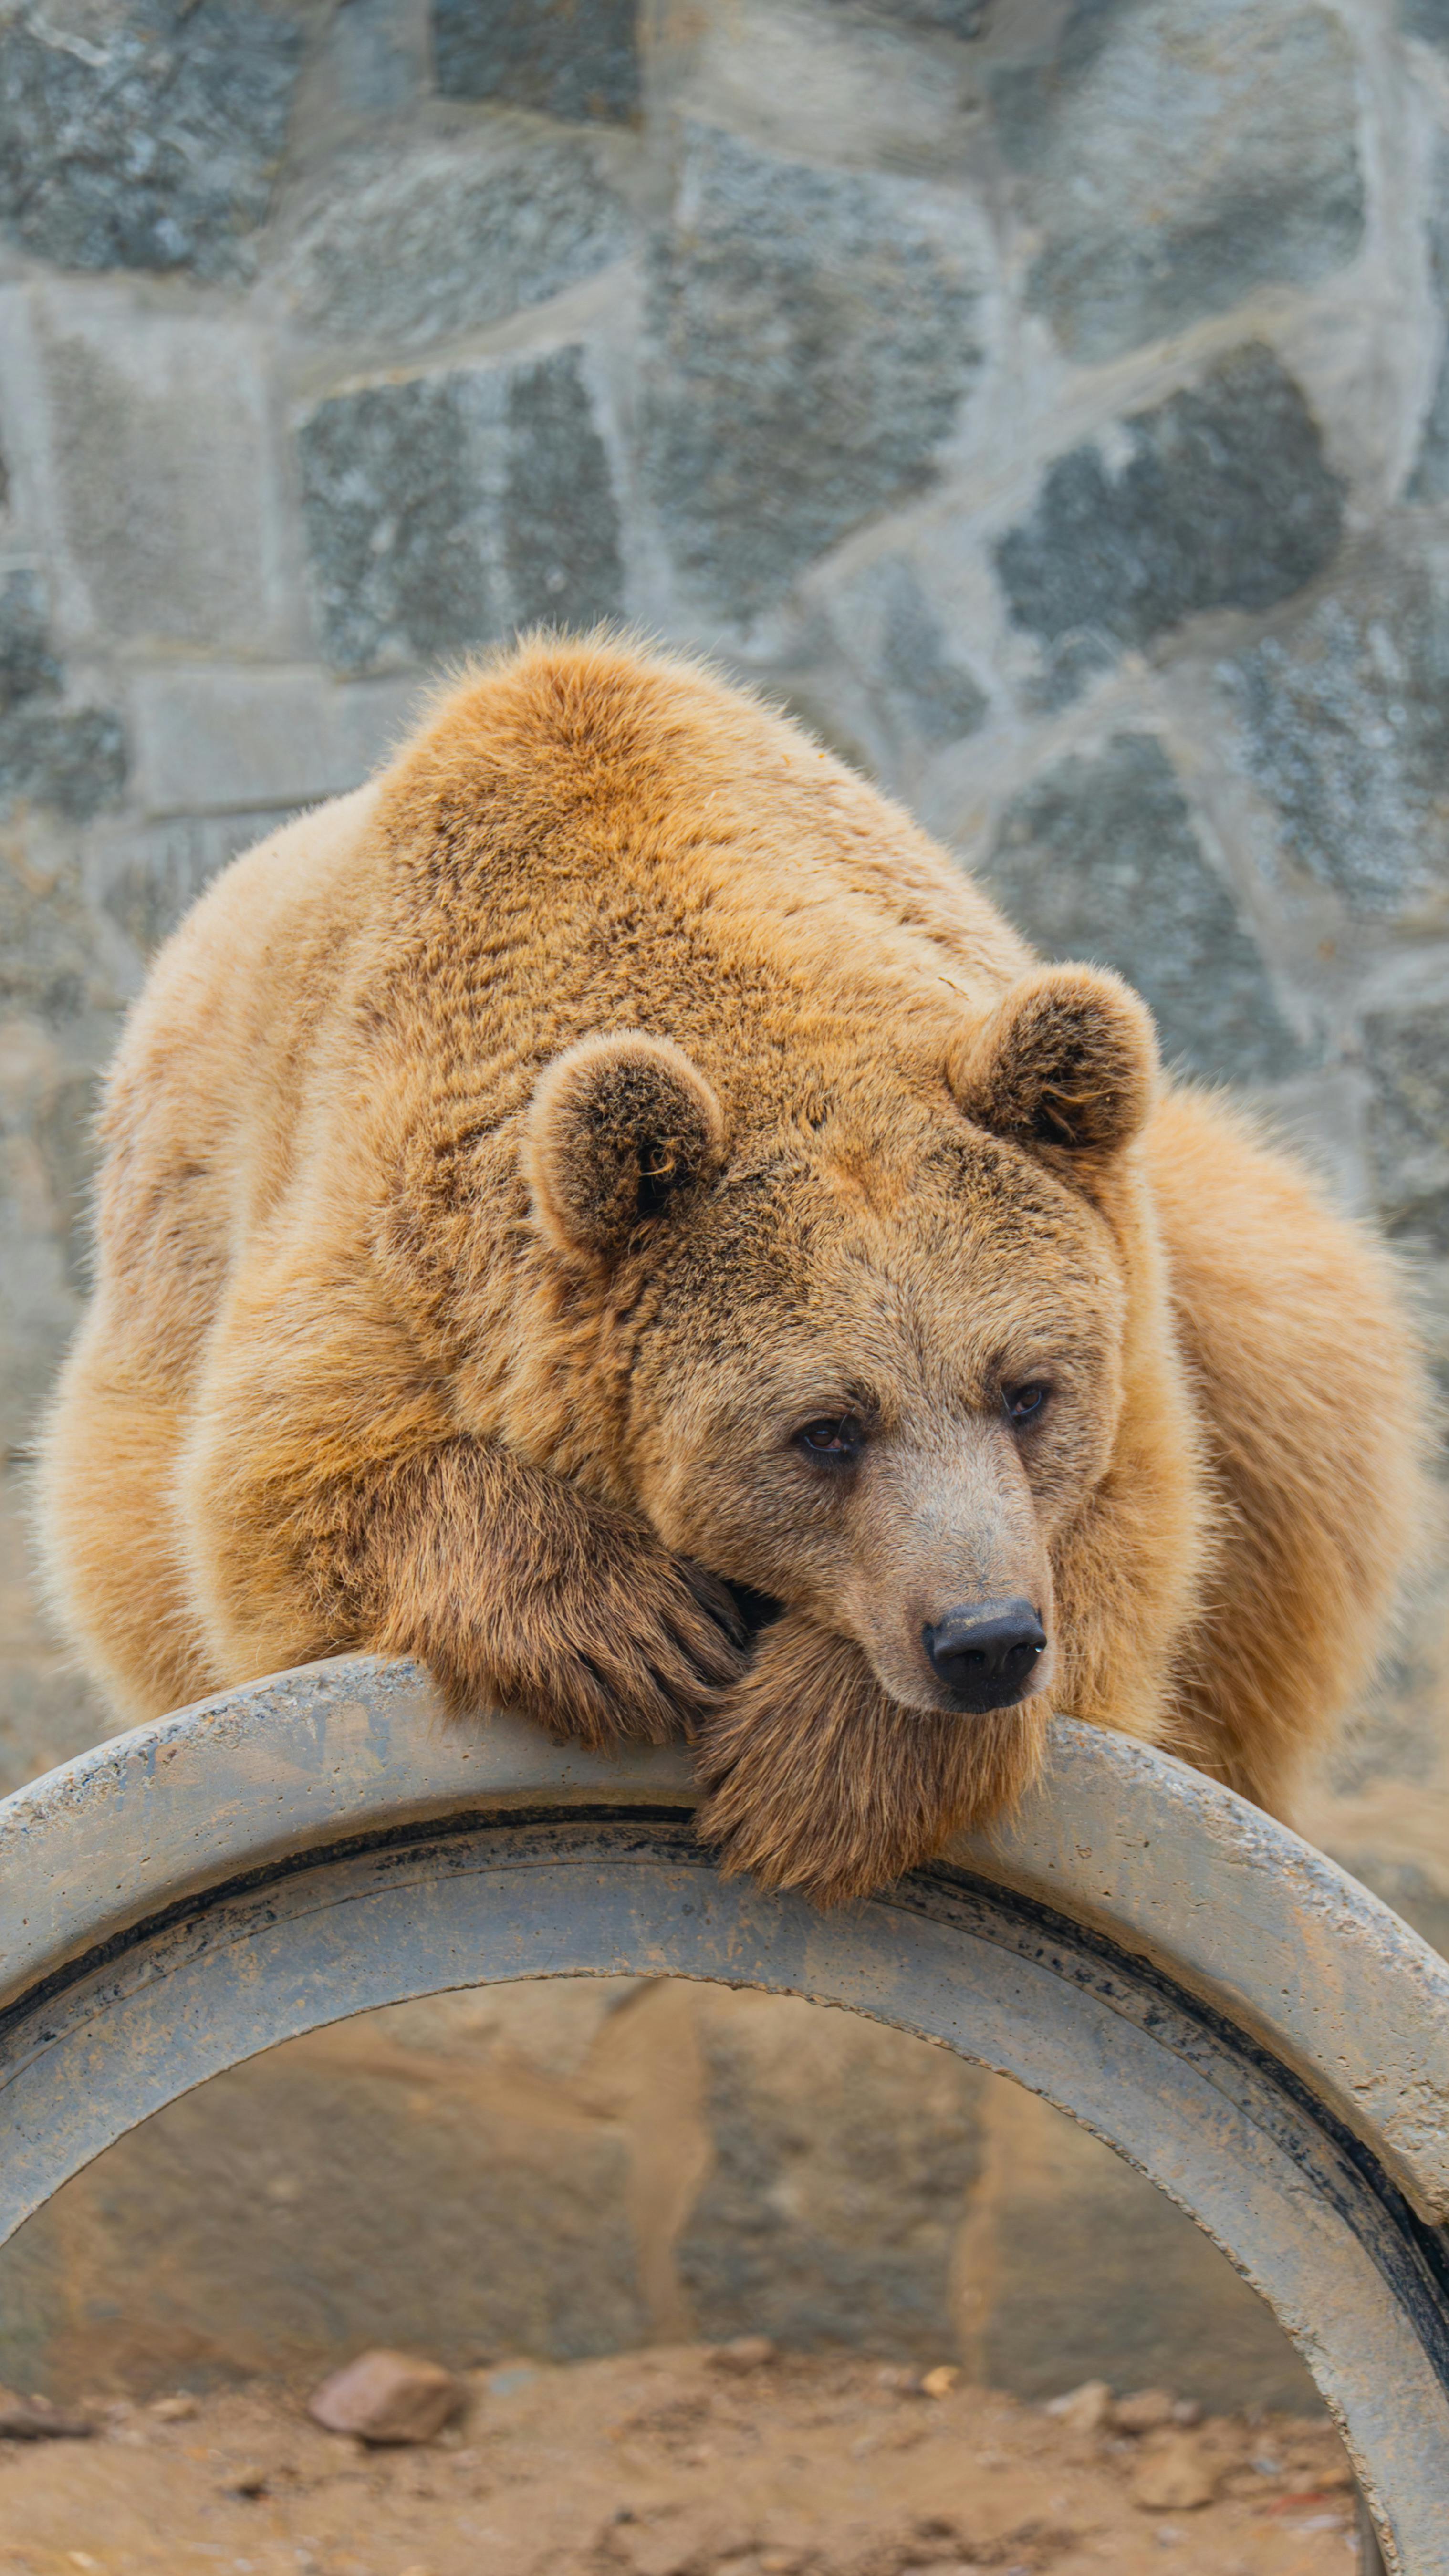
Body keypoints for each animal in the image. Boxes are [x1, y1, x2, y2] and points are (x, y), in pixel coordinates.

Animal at [34, 636, 1424, 1904]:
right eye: (824, 1428)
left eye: (1026, 1392)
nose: (981, 1640)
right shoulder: (392, 1245)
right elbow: (280, 1503)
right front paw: (633, 1630)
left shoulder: (1123, 1327)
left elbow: (1131, 1547)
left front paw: (821, 1769)